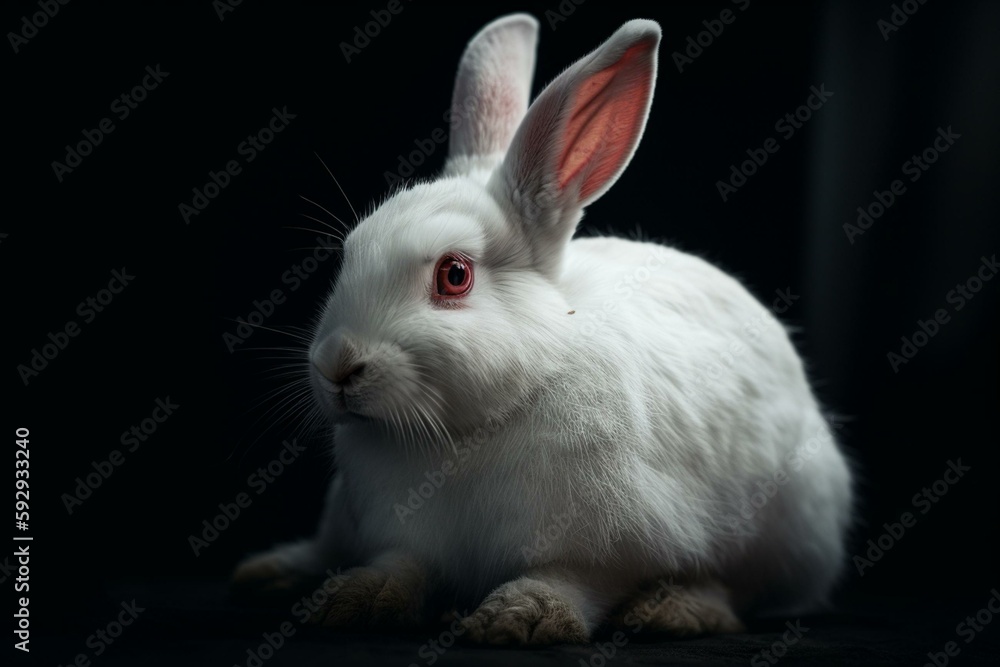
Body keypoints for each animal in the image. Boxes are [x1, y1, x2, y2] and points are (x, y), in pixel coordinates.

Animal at [232, 13, 853, 645]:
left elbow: (570, 582)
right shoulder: (403, 536)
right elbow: (400, 565)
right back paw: (271, 573)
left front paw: (521, 616)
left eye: (454, 275)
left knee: (741, 588)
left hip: (791, 524)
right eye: (349, 254)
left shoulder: (605, 547)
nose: (337, 365)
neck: (465, 430)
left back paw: (676, 609)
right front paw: (357, 597)